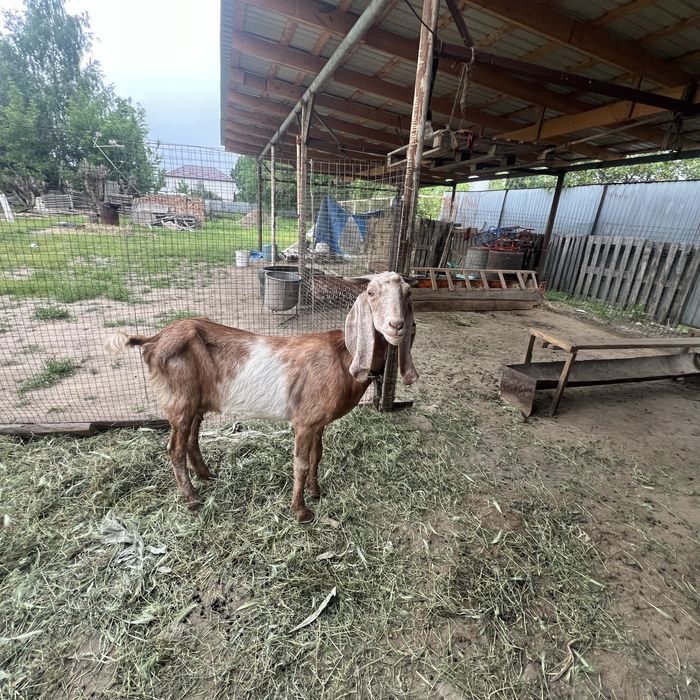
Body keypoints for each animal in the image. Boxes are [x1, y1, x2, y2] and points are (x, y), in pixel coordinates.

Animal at [106, 271, 418, 522]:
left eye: (407, 293)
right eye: (370, 293)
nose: (396, 326)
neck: (343, 356)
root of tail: (153, 340)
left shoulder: (317, 422)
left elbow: (318, 456)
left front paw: (316, 492)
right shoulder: (304, 423)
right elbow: (302, 464)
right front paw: (301, 512)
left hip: (196, 403)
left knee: (192, 440)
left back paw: (207, 475)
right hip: (179, 402)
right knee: (175, 449)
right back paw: (193, 498)